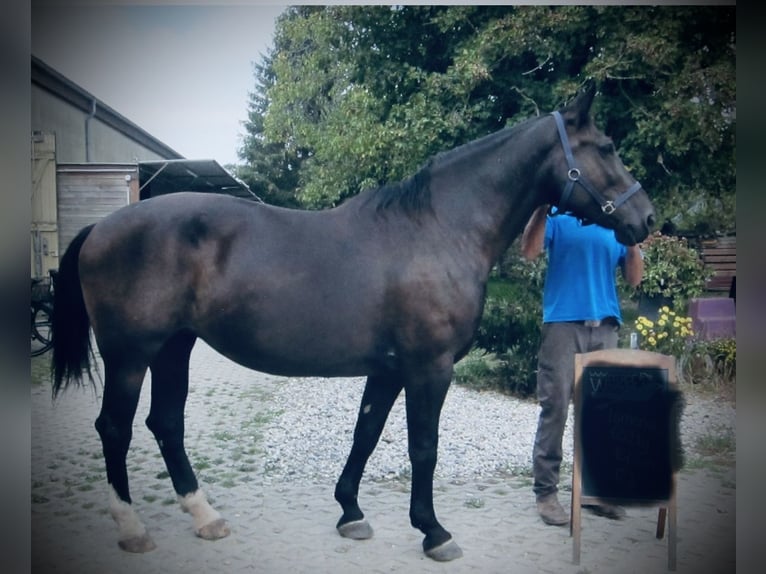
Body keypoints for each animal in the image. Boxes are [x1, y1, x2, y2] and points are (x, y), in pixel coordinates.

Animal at [51, 85, 656, 564]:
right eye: (606, 149)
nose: (646, 219)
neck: (438, 230)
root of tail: (102, 227)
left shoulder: (388, 370)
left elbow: (365, 435)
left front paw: (350, 513)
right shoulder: (429, 369)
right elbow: (423, 447)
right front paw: (433, 532)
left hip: (175, 347)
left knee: (166, 425)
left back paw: (205, 516)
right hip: (131, 355)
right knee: (116, 428)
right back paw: (132, 528)